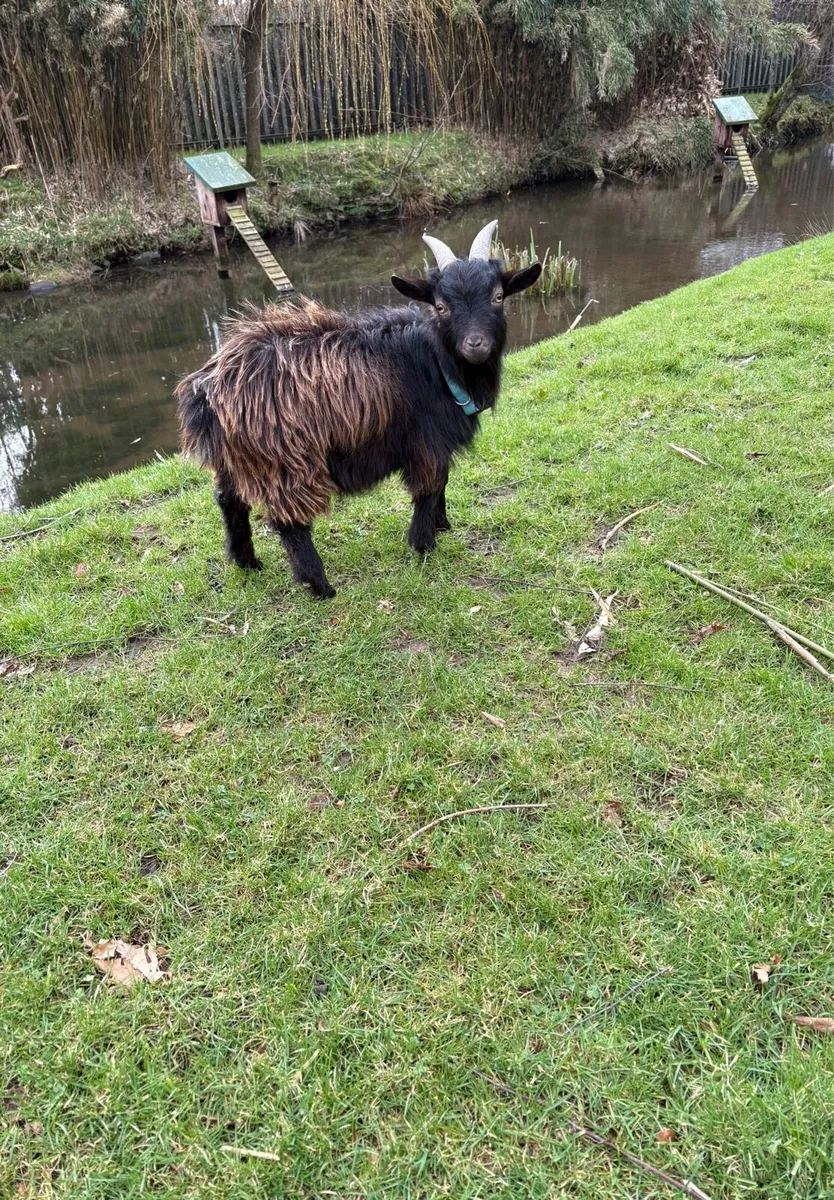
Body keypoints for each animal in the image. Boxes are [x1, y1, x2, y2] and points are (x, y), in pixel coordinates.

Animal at [176, 220, 541, 597]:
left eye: (498, 297)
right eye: (441, 306)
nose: (475, 345)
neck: (437, 364)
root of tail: (209, 387)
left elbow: (442, 485)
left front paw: (442, 525)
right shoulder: (426, 443)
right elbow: (430, 486)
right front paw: (423, 543)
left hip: (235, 459)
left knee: (229, 501)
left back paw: (246, 562)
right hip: (285, 461)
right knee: (289, 521)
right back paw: (319, 585)